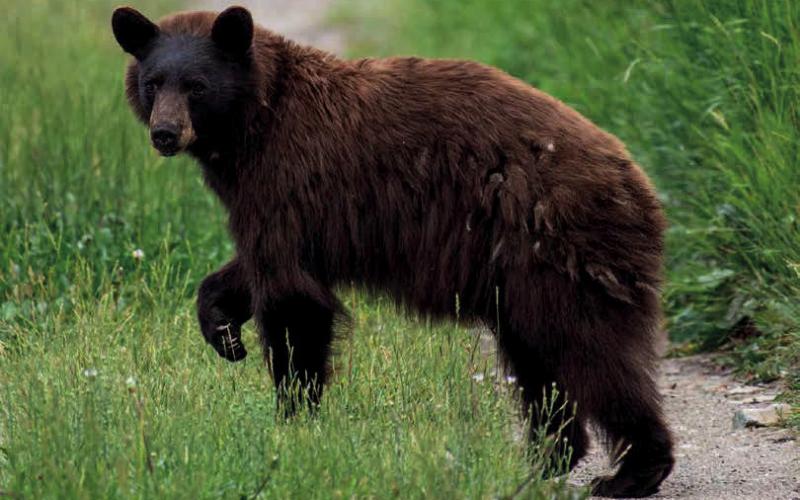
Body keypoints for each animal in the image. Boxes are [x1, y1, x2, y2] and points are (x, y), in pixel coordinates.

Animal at [112, 6, 674, 497]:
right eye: (153, 82)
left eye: (197, 86)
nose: (165, 133)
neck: (255, 122)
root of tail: (638, 182)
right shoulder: (277, 206)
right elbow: (259, 266)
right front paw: (224, 330)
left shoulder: (289, 178)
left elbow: (293, 296)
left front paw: (293, 425)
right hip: (521, 276)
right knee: (538, 363)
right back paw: (543, 461)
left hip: (556, 247)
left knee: (592, 353)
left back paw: (631, 472)